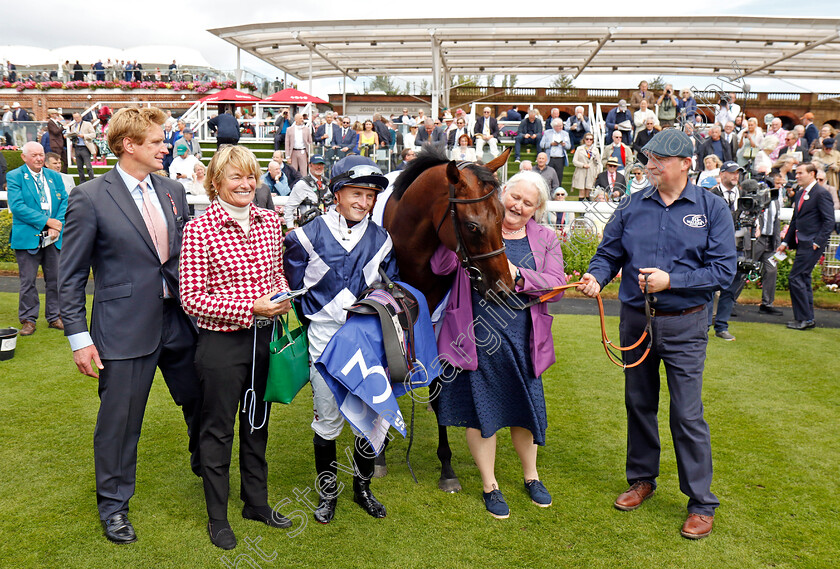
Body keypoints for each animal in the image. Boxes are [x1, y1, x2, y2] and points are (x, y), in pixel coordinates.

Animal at [380, 143, 512, 492]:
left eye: (503, 216)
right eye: (472, 226)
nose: (504, 288)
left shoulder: (435, 324)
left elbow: (440, 391)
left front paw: (447, 467)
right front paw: (378, 454)